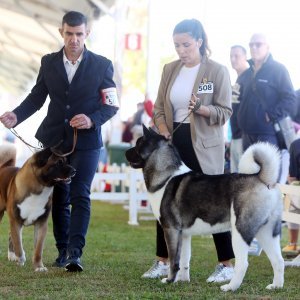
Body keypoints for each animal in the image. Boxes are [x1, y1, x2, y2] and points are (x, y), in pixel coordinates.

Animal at [125, 125, 284, 292]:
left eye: (138, 144)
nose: (125, 152)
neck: (166, 175)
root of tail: (263, 179)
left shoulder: (171, 230)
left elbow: (174, 260)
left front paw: (169, 280)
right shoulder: (184, 234)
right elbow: (184, 260)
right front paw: (182, 280)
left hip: (241, 231)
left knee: (243, 263)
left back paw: (230, 287)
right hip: (267, 233)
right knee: (278, 261)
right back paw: (276, 286)